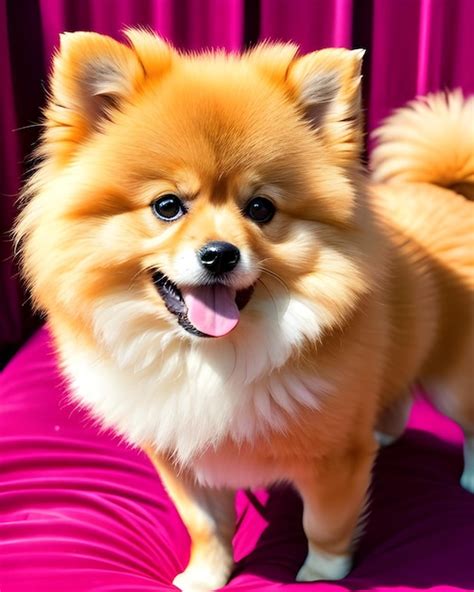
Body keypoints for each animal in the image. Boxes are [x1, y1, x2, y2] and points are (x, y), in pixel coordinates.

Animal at [15, 28, 474, 592]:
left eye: (261, 208)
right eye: (167, 206)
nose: (220, 254)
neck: (210, 358)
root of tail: (445, 191)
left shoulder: (335, 459)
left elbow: (324, 525)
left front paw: (318, 577)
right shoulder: (181, 458)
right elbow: (206, 525)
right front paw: (205, 576)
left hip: (454, 382)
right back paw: (386, 432)